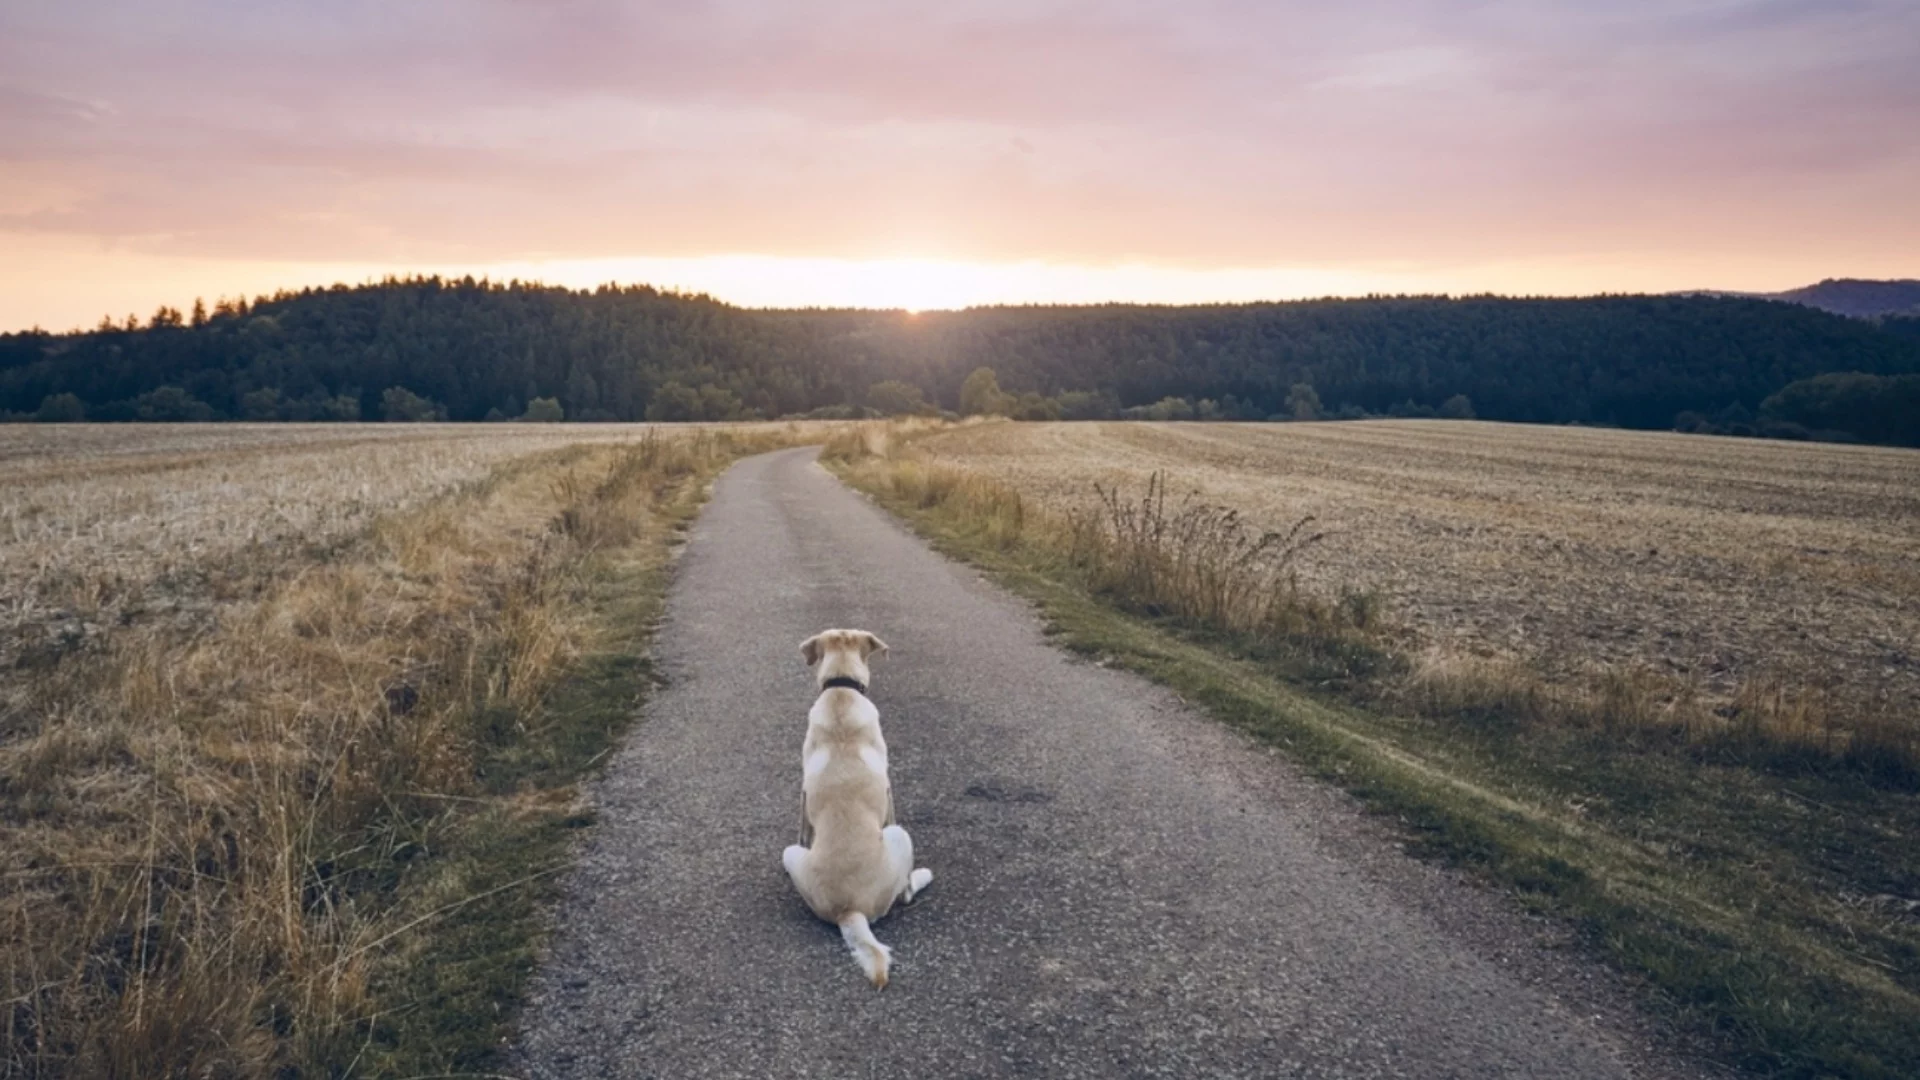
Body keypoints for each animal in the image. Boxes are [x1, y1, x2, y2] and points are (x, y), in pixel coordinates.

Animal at [779, 622, 929, 983]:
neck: (841, 692)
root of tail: (850, 910)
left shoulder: (803, 793)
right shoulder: (889, 790)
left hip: (790, 852)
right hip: (901, 836)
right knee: (905, 893)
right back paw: (922, 876)